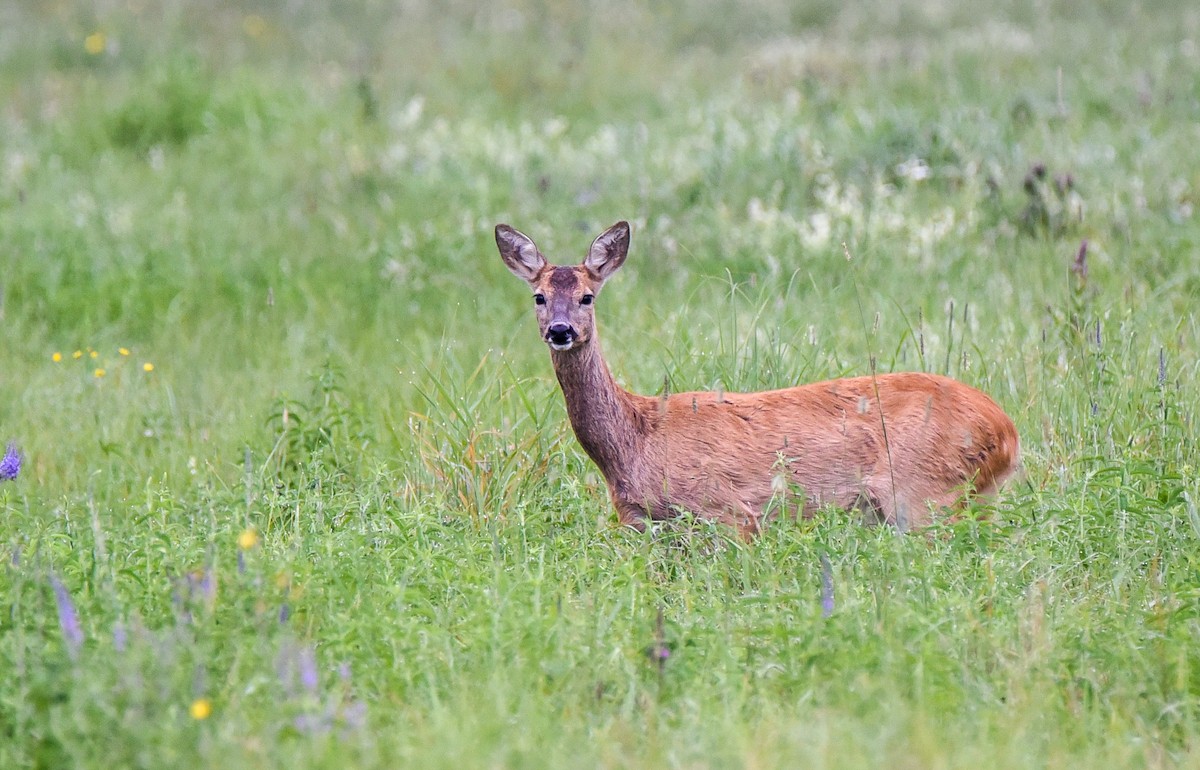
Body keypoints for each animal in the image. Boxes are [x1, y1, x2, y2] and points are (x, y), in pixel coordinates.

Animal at [495, 220, 1020, 538]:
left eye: (587, 296)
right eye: (539, 296)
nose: (561, 330)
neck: (637, 440)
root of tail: (1007, 432)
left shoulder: (728, 512)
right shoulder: (638, 522)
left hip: (925, 493)